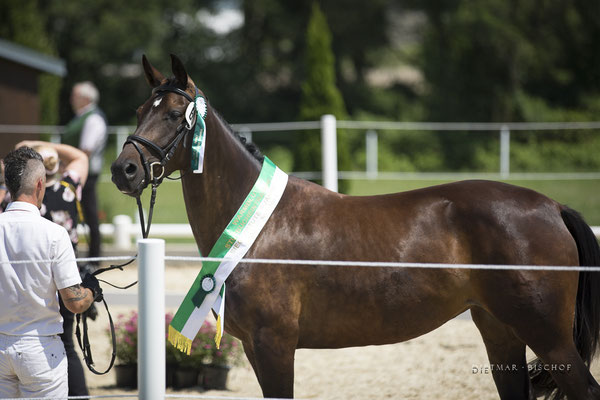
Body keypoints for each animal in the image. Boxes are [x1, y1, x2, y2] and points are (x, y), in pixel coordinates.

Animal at [111, 54, 600, 398]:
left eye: (174, 115)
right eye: (139, 110)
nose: (123, 170)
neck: (258, 227)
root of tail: (554, 207)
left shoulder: (274, 346)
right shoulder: (256, 346)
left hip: (549, 338)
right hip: (500, 332)